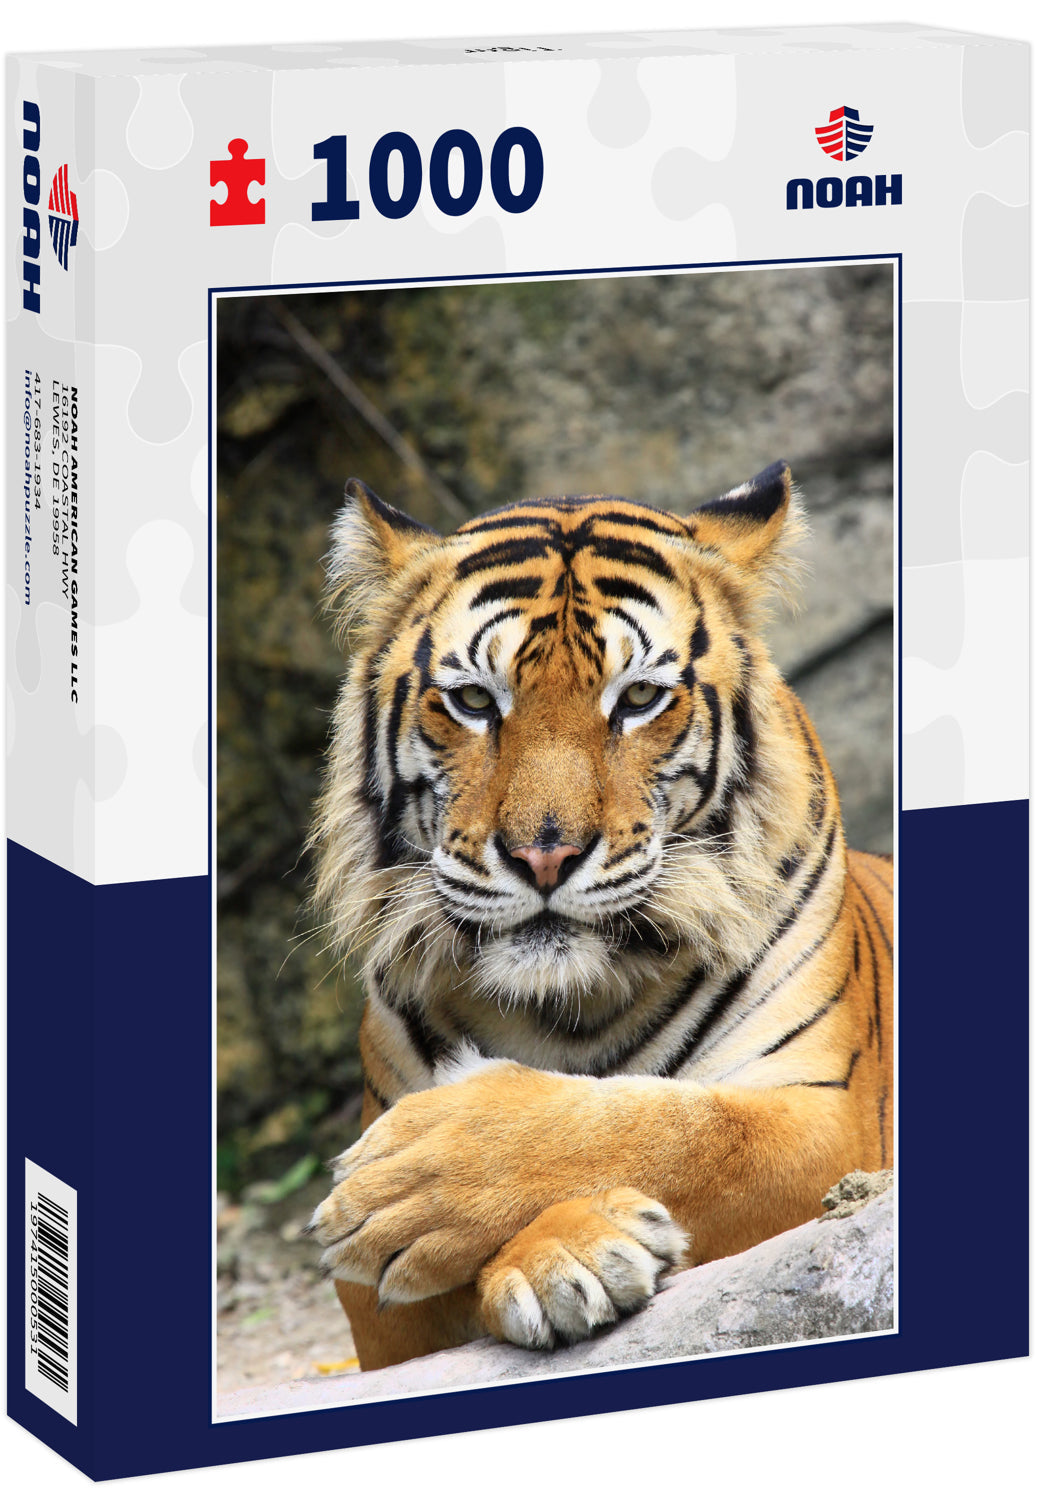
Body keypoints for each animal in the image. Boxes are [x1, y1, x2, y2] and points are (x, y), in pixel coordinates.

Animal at [307, 460, 893, 1371]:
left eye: (640, 697)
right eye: (474, 701)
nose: (544, 854)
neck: (567, 1010)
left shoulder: (828, 1118)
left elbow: (678, 1128)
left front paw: (424, 1183)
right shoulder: (381, 1325)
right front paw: (568, 1252)